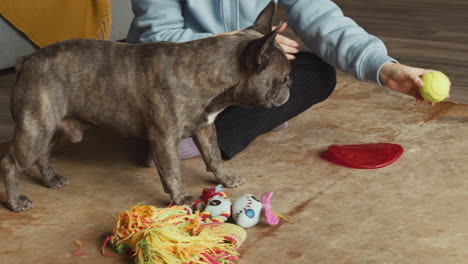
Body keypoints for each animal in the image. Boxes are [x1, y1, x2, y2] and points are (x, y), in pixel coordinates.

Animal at [1, 1, 290, 211]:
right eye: (284, 77)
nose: (290, 87)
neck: (207, 72)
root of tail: (26, 60)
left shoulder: (205, 129)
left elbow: (213, 156)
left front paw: (225, 178)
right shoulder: (164, 139)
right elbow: (173, 171)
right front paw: (181, 198)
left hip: (49, 128)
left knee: (43, 154)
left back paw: (51, 180)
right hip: (34, 130)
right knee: (11, 163)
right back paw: (16, 202)